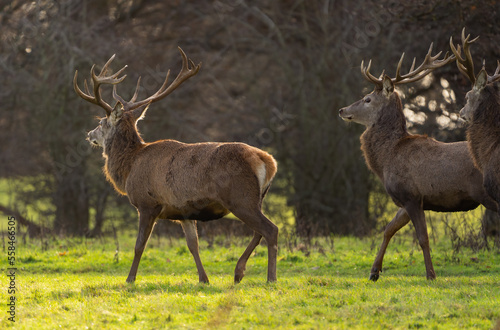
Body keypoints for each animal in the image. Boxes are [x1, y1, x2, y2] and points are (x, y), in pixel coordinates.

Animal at [73, 48, 280, 284]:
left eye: (101, 122)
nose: (89, 134)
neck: (129, 167)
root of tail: (267, 161)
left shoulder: (147, 203)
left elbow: (139, 245)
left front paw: (130, 279)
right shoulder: (184, 211)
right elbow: (193, 245)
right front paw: (203, 278)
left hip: (240, 197)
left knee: (270, 229)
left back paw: (270, 278)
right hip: (258, 198)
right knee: (258, 232)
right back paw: (238, 272)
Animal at [338, 43, 498, 282]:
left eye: (367, 99)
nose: (342, 110)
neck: (387, 159)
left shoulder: (411, 194)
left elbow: (423, 237)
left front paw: (431, 274)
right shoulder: (406, 200)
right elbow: (388, 229)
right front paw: (374, 271)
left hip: (487, 193)